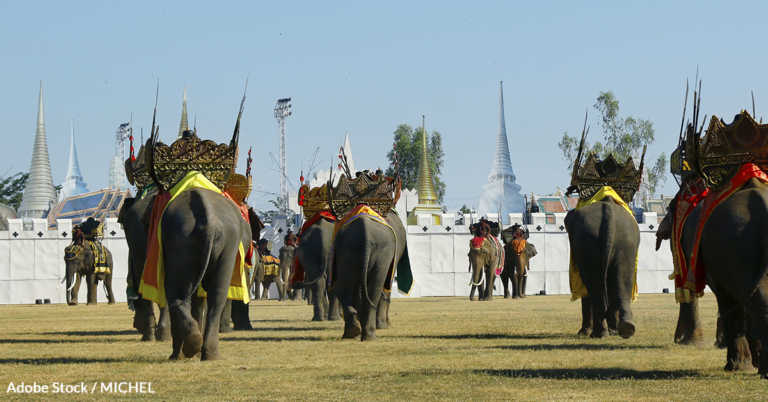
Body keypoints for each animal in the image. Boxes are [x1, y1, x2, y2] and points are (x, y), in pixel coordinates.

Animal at [333, 210, 406, 341]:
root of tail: (365, 232)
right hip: (382, 253)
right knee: (374, 287)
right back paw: (368, 334)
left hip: (349, 249)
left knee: (347, 285)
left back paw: (356, 333)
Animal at [565, 198, 639, 339]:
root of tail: (608, 212)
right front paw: (612, 330)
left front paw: (583, 333)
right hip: (625, 243)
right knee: (622, 281)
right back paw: (623, 329)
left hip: (590, 242)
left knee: (596, 285)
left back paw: (601, 333)